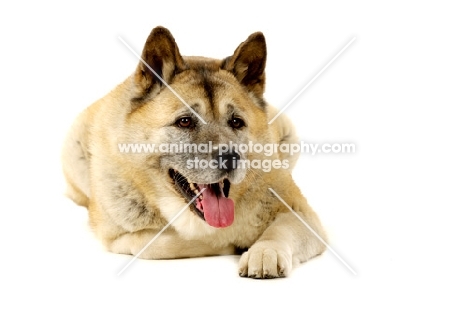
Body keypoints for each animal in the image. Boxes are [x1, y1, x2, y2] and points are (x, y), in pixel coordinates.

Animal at [61, 26, 326, 280]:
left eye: (236, 122)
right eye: (185, 121)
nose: (230, 158)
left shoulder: (303, 216)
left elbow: (279, 230)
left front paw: (264, 252)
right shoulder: (119, 236)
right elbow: (160, 244)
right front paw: (226, 244)